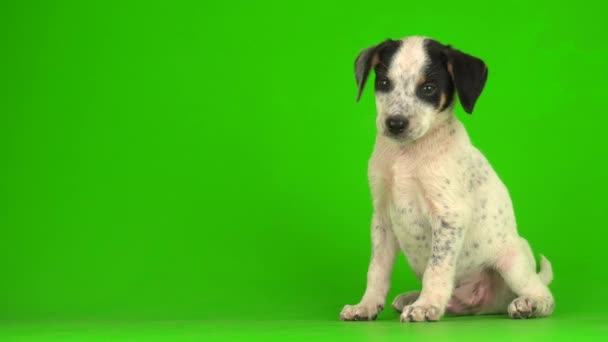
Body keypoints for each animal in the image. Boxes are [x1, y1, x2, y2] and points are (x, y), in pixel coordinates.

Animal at [342, 37, 556, 324]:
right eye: (384, 83)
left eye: (429, 88)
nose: (395, 123)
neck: (406, 155)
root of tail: (486, 305)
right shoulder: (382, 219)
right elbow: (377, 270)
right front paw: (366, 306)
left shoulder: (449, 216)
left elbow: (437, 268)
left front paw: (426, 306)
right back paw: (410, 298)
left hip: (513, 261)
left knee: (543, 293)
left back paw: (529, 304)